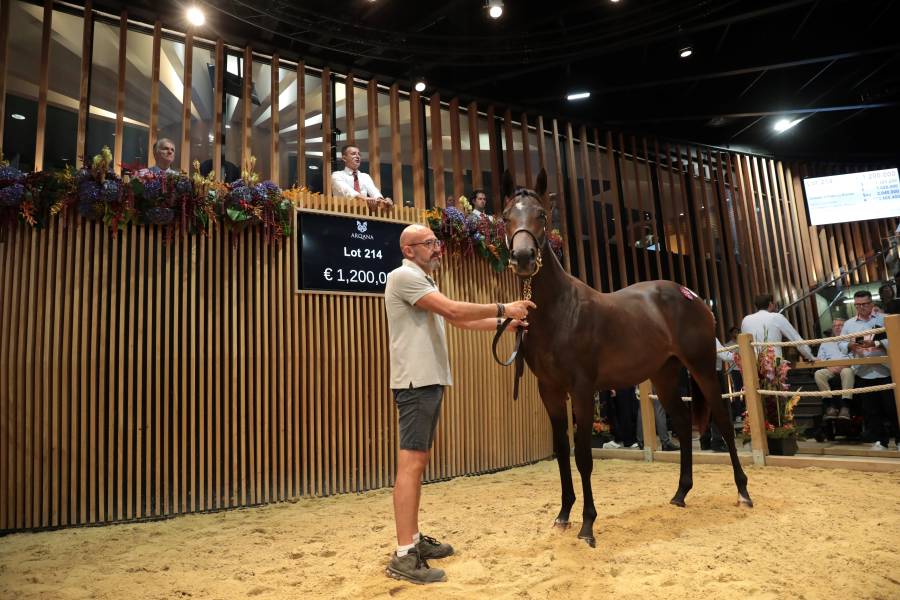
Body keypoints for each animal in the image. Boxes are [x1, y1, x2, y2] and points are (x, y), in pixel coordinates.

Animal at [502, 169, 748, 548]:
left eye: (542, 215)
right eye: (505, 217)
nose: (524, 257)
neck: (560, 311)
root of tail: (691, 295)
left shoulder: (582, 389)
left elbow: (583, 456)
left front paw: (588, 525)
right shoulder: (550, 391)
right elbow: (561, 452)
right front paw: (563, 516)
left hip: (702, 367)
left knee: (721, 419)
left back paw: (743, 492)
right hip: (665, 375)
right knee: (681, 422)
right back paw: (680, 494)